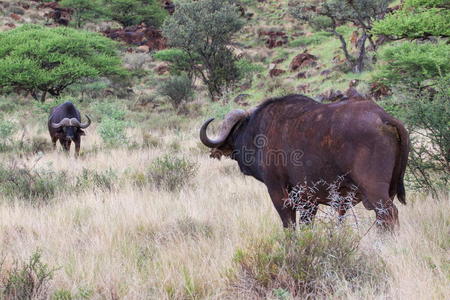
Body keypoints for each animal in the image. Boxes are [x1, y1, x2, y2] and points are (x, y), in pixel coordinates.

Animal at [199, 91, 410, 230]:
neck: (257, 133)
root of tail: (383, 117)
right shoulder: (309, 200)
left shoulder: (277, 190)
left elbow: (289, 224)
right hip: (389, 191)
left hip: (375, 191)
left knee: (389, 215)